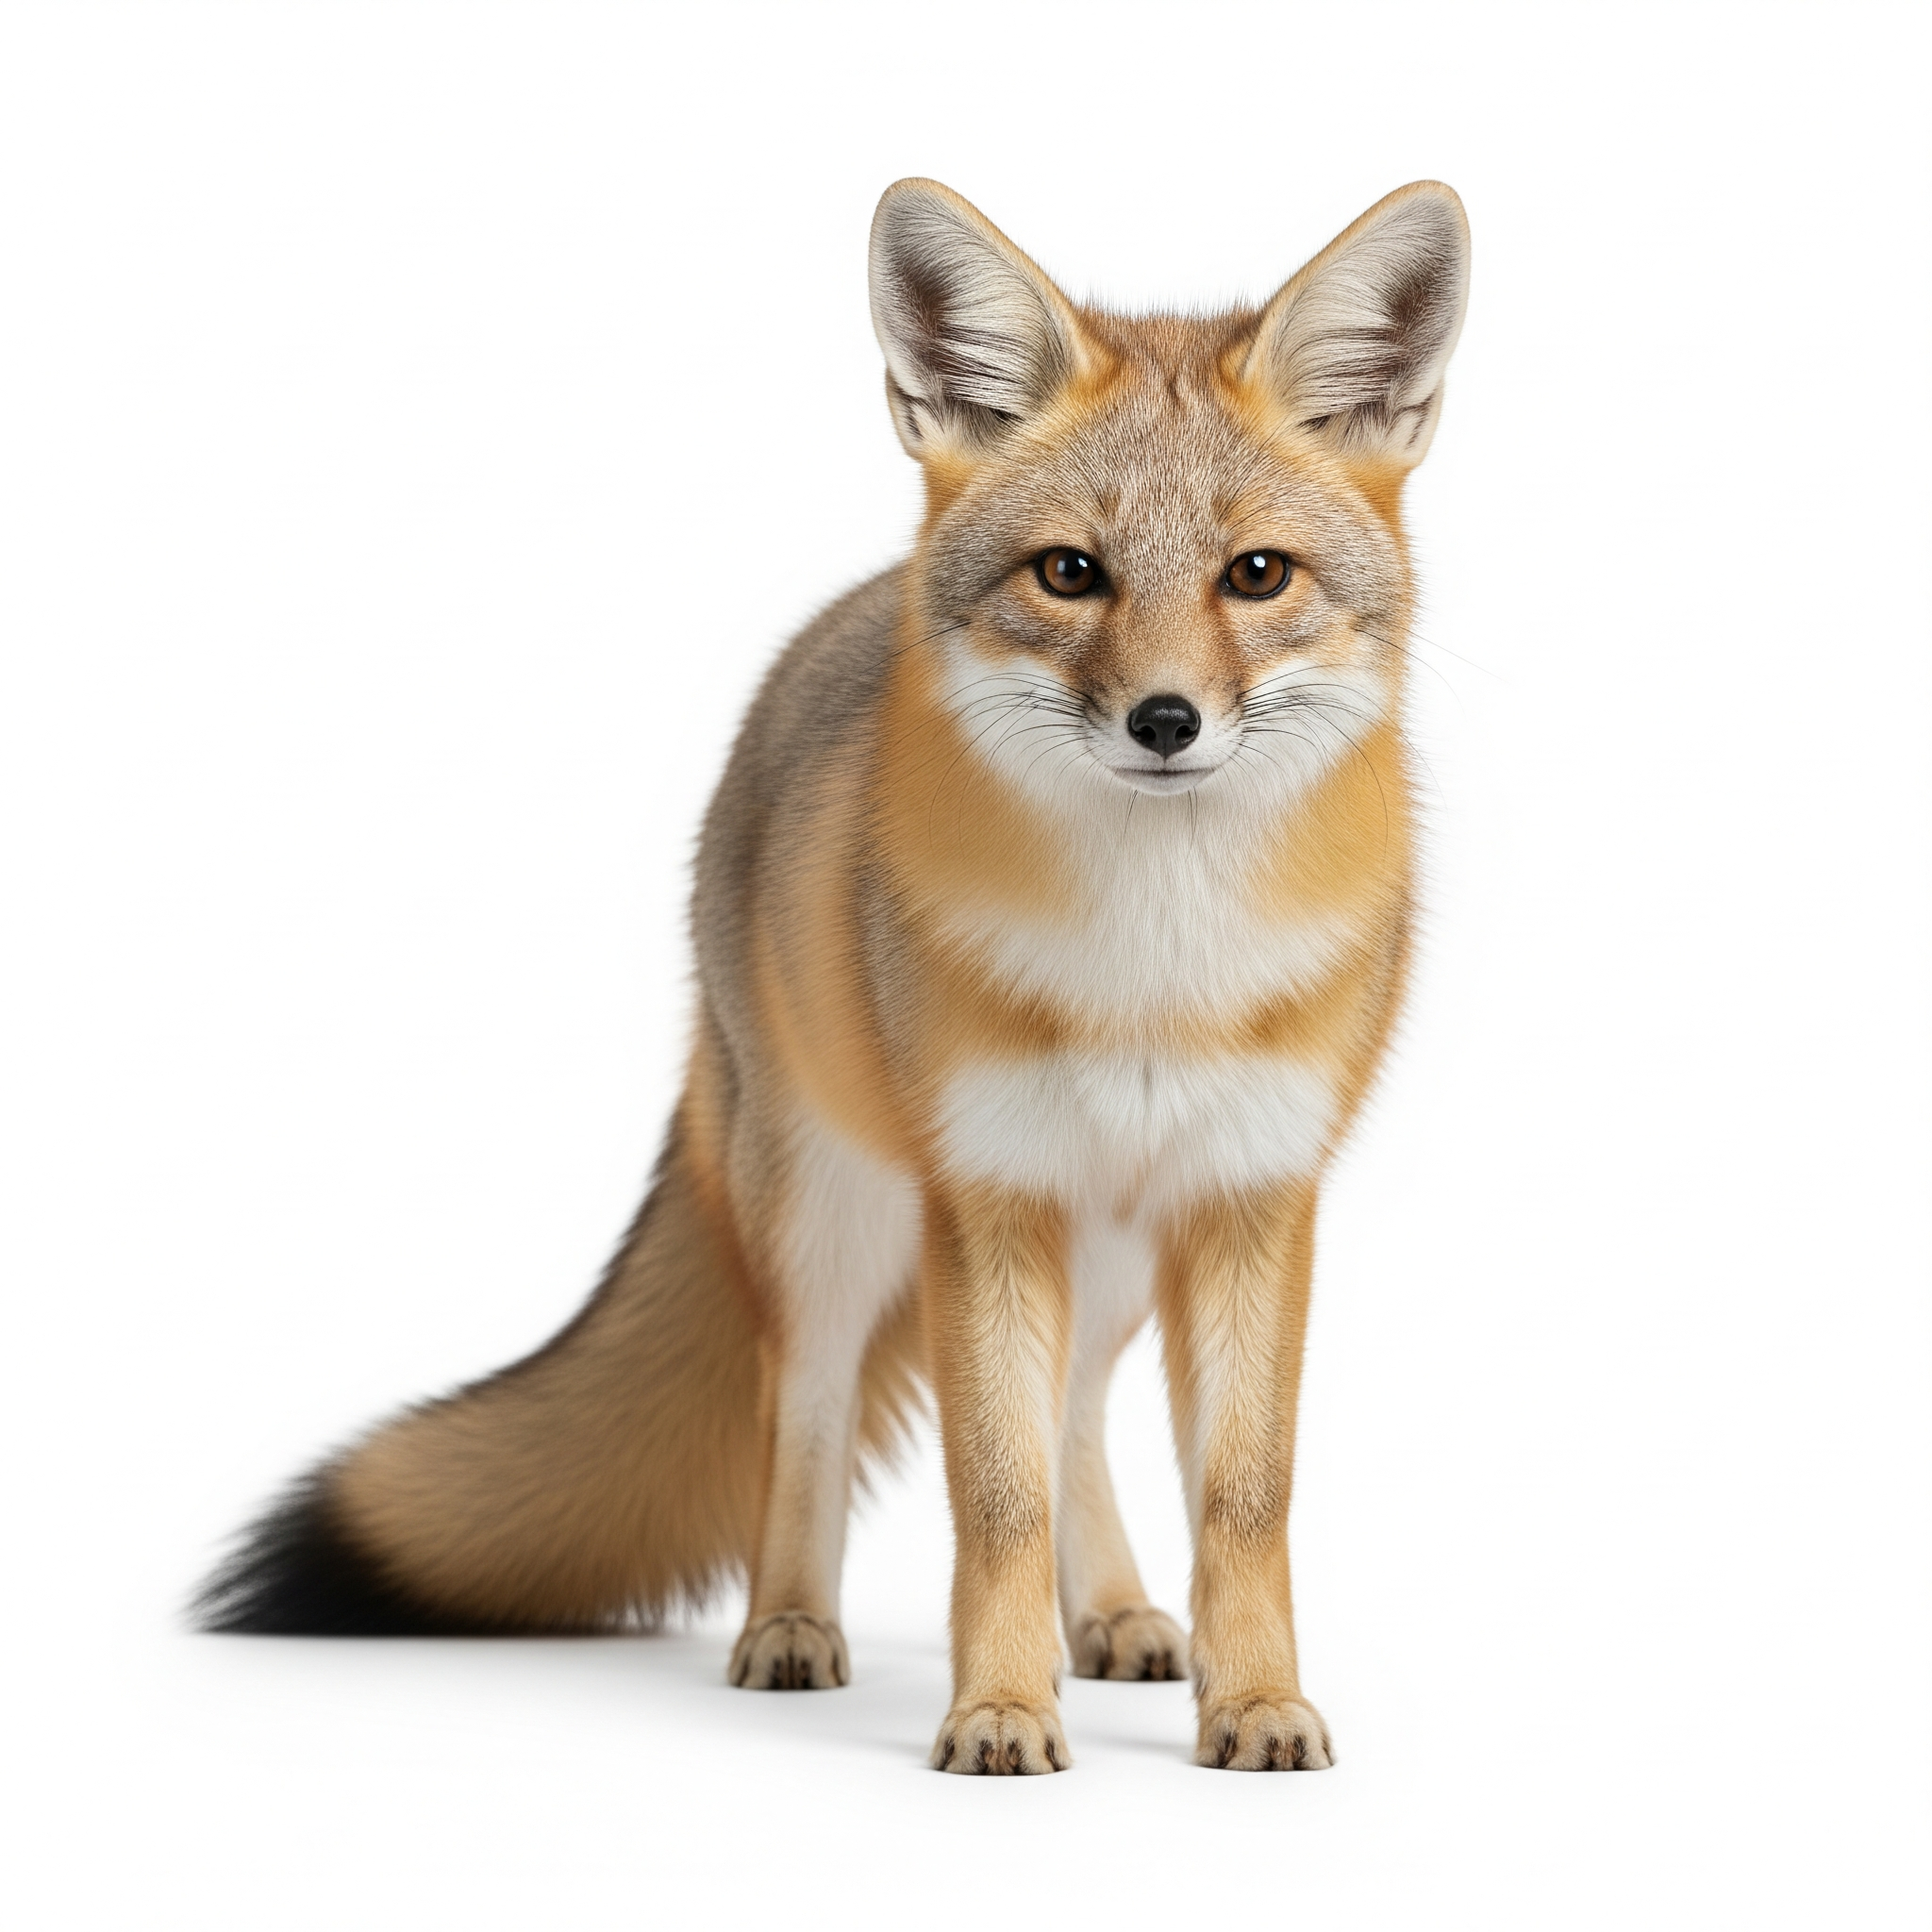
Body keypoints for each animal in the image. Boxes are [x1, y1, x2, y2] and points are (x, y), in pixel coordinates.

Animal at [198, 177, 1471, 1775]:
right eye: (1072, 573)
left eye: (1257, 577)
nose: (1167, 721)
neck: (1150, 974)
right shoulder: (983, 1197)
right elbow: (990, 1494)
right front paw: (998, 1712)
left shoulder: (1251, 1200)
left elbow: (1239, 1498)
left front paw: (1252, 1705)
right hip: (838, 1222)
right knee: (797, 1411)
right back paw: (791, 1629)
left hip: (1114, 1255)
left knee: (1076, 1417)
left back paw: (1115, 1616)